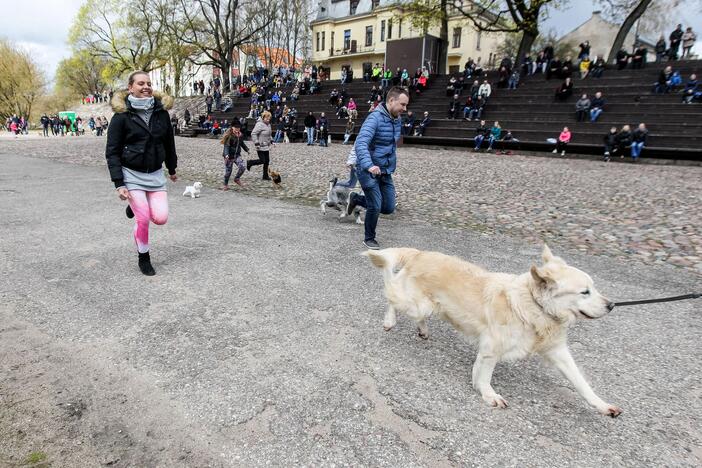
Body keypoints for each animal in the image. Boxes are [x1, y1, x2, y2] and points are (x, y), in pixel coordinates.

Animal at [366, 245, 624, 416]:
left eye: (594, 288)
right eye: (584, 292)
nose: (612, 305)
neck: (534, 306)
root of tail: (420, 253)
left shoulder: (557, 351)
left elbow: (580, 382)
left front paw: (601, 404)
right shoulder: (492, 346)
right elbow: (485, 374)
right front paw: (489, 394)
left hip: (426, 307)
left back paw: (422, 330)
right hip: (415, 303)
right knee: (390, 291)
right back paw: (389, 320)